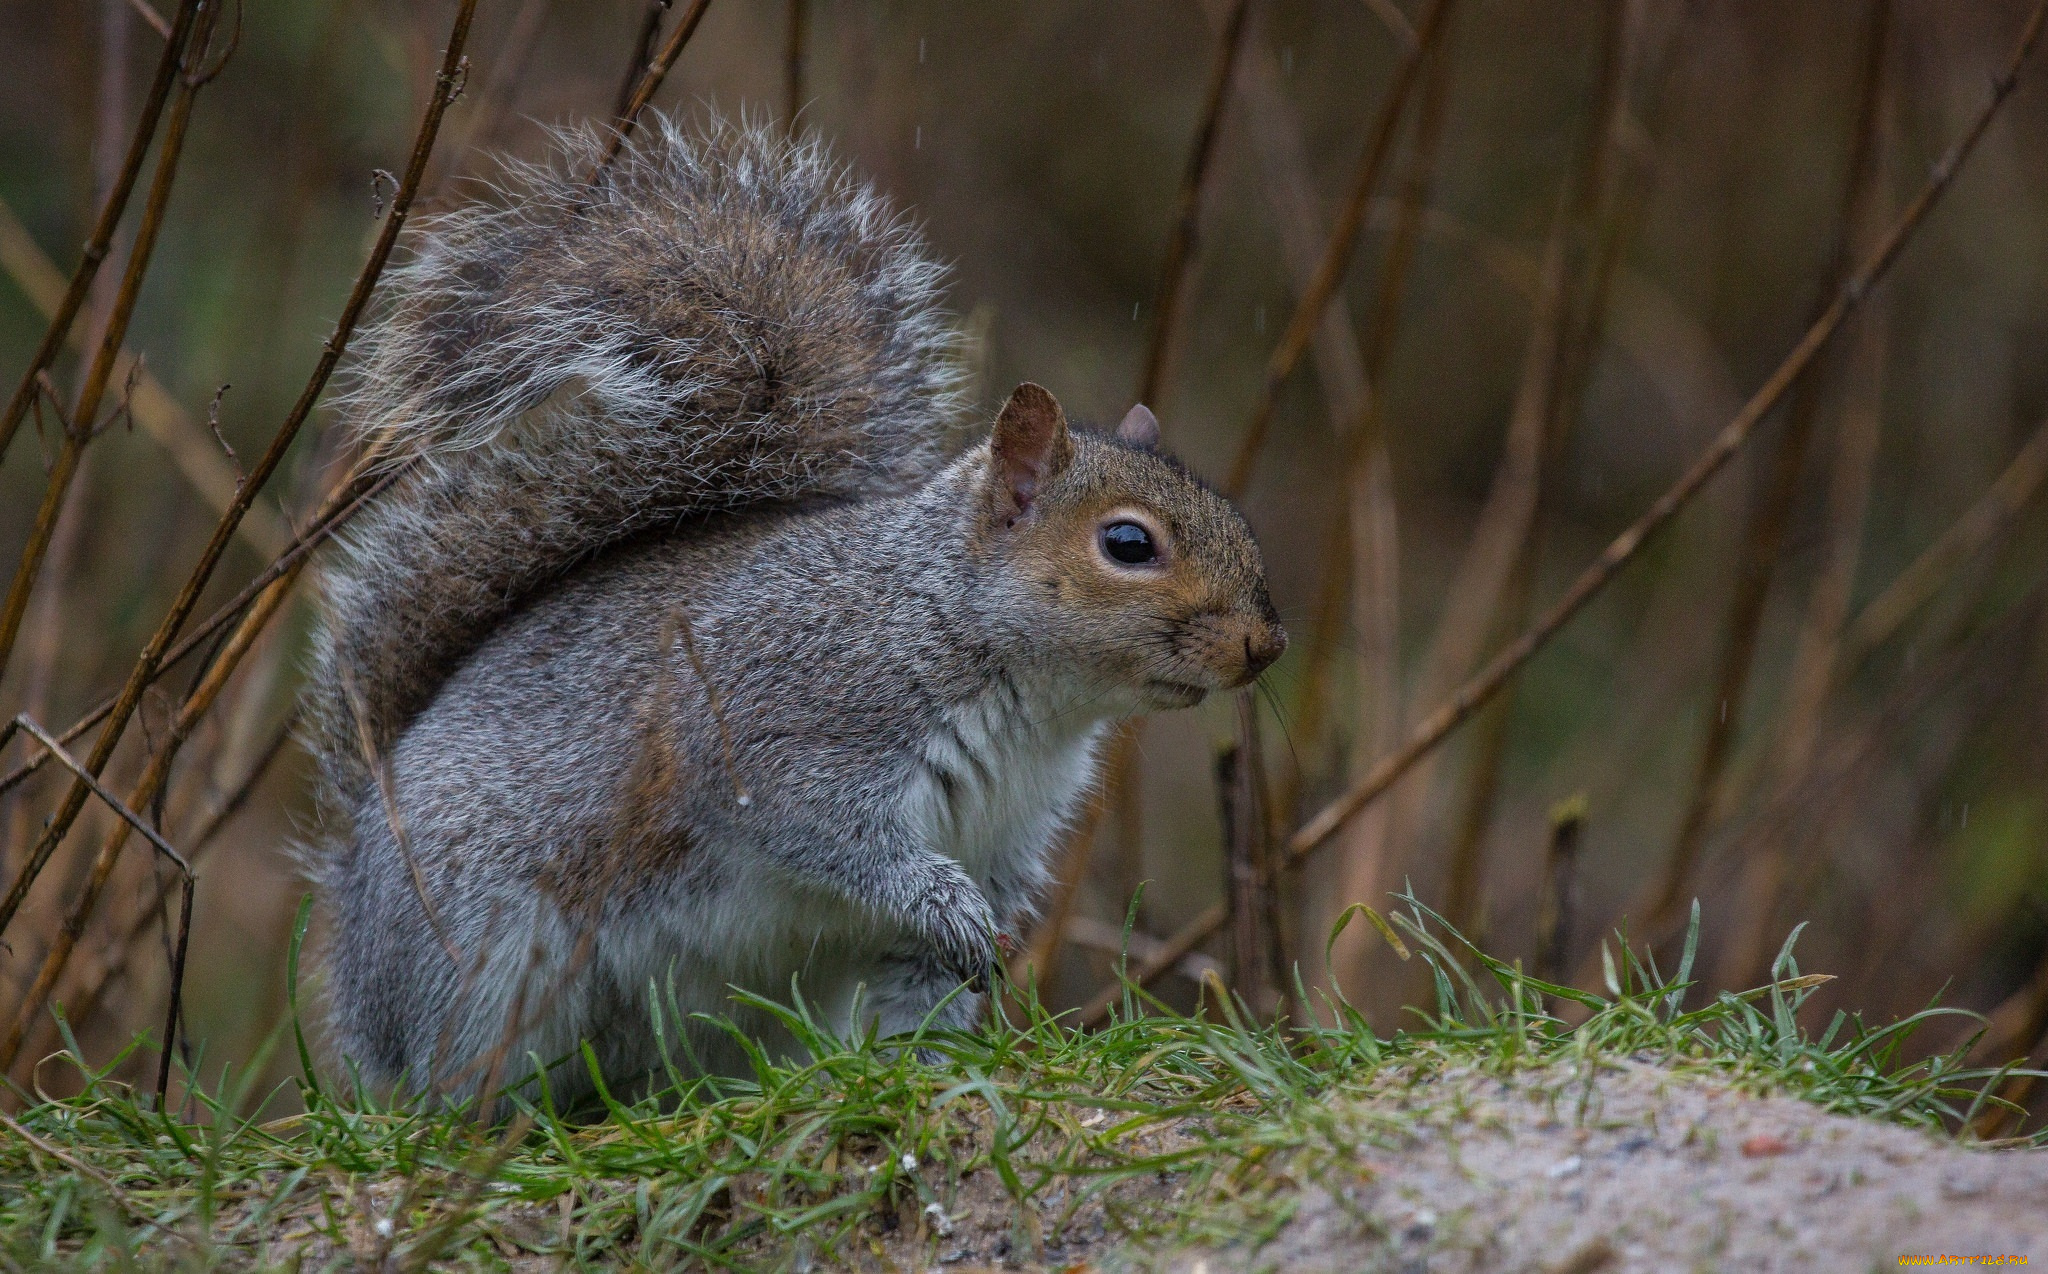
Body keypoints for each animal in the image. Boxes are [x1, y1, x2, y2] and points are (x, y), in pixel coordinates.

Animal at [301, 114, 1277, 1106]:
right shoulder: (783, 726)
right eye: (1127, 545)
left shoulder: (1006, 837)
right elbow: (829, 835)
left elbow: (919, 990)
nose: (1263, 644)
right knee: (453, 1086)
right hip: (486, 957)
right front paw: (949, 910)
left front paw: (938, 1063)